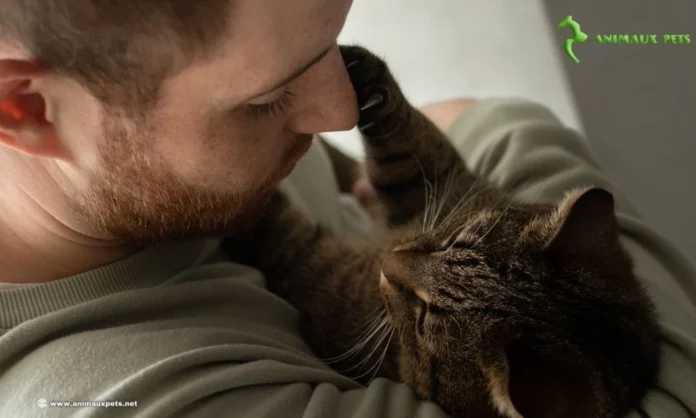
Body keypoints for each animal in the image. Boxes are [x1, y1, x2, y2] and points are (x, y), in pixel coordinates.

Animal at [226, 45, 660, 418]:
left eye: (424, 317)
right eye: (451, 241)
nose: (390, 260)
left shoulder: (323, 279)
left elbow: (277, 230)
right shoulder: (440, 182)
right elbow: (407, 140)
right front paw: (365, 81)